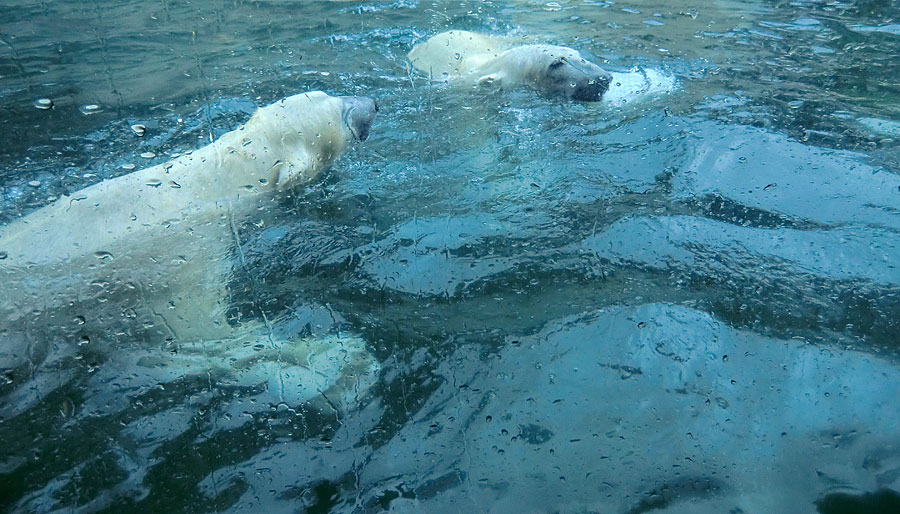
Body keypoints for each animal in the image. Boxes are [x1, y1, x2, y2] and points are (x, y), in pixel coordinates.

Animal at [0, 90, 380, 414]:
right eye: (342, 113)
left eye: (326, 93)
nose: (371, 103)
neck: (214, 182)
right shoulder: (184, 262)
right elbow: (199, 333)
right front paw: (342, 363)